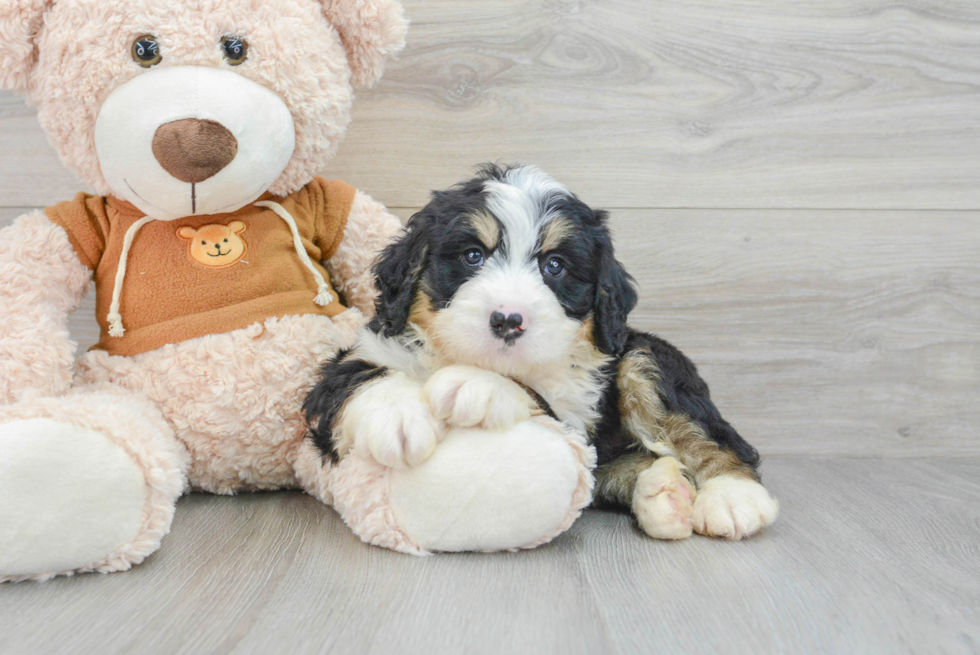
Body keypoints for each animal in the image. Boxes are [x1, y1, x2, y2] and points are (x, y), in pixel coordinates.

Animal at [306, 165, 780, 544]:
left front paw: (476, 385)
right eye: (473, 255)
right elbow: (360, 376)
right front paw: (398, 416)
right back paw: (663, 495)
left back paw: (732, 497)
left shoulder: (576, 413)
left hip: (642, 357)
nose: (507, 320)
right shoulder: (361, 356)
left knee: (709, 436)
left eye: (554, 266)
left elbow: (531, 392)